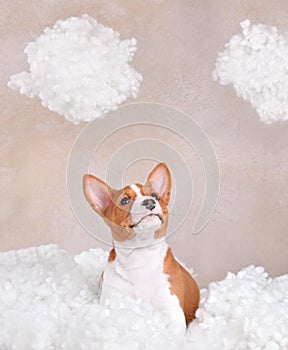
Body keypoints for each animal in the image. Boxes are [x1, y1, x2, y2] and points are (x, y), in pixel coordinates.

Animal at [82, 163, 200, 334]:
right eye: (125, 200)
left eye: (155, 196)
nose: (149, 202)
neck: (140, 254)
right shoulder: (112, 304)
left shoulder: (172, 312)